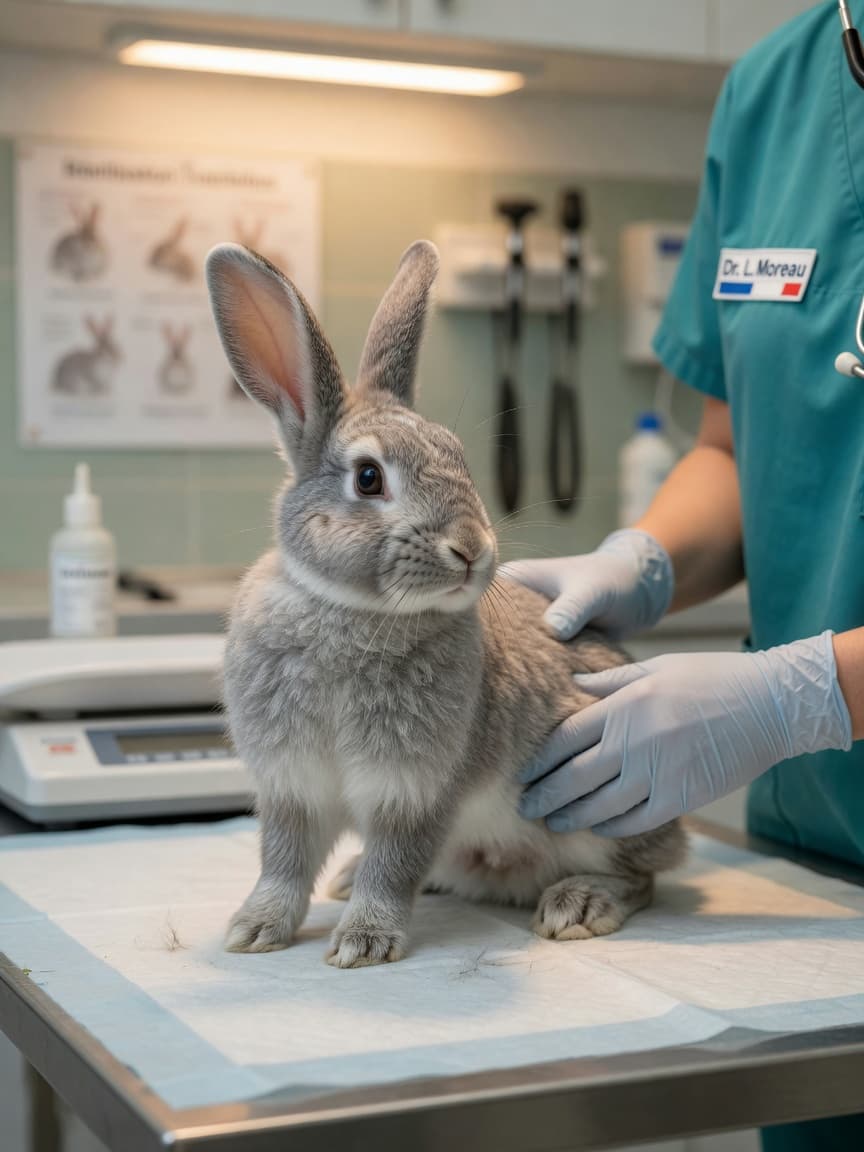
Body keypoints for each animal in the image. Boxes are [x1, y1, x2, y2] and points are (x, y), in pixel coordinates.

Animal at [205, 239, 687, 970]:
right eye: (368, 478)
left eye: (460, 458)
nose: (472, 550)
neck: (351, 612)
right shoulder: (292, 788)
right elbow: (283, 864)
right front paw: (255, 931)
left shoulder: (416, 791)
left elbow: (393, 865)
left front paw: (364, 943)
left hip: (606, 811)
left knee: (646, 878)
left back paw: (579, 903)